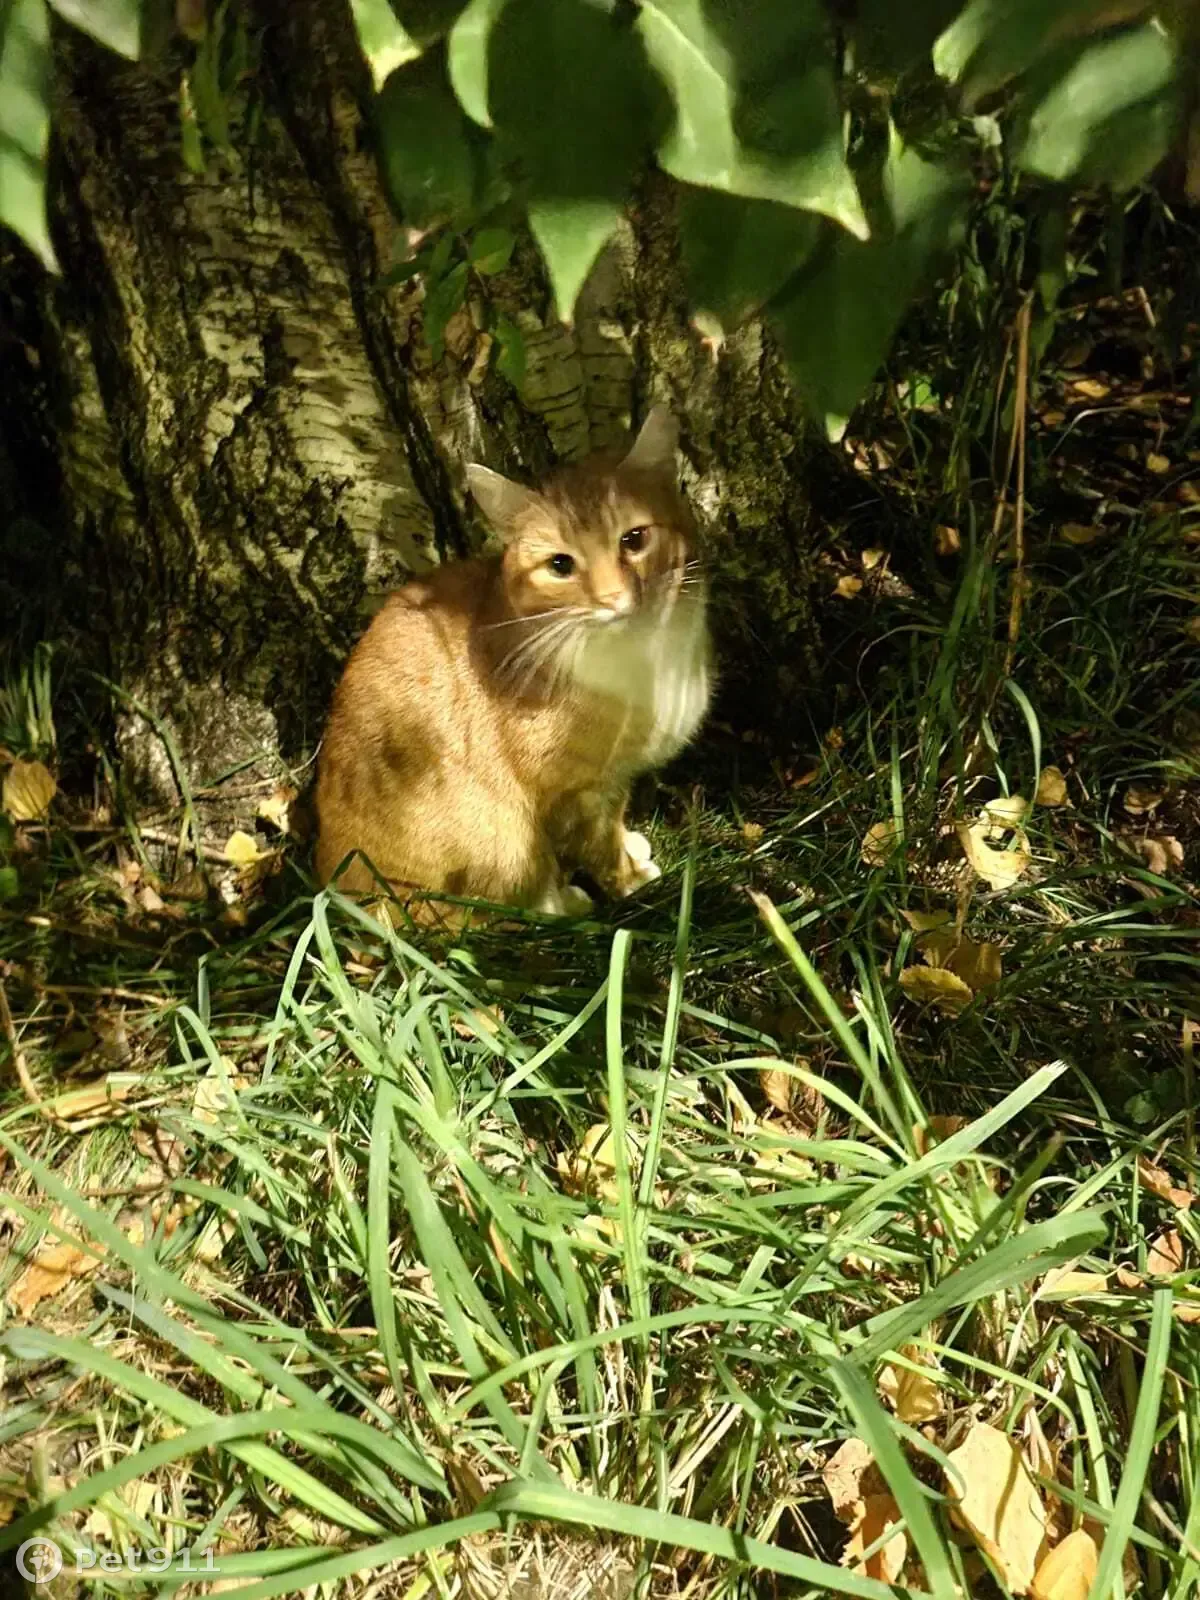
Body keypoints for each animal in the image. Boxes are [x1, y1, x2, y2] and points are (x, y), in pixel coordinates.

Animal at [316, 406, 713, 921]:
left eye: (635, 539)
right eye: (561, 565)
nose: (613, 599)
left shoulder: (613, 781)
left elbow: (616, 822)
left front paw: (630, 848)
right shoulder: (576, 794)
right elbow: (599, 847)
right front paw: (629, 880)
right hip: (490, 847)